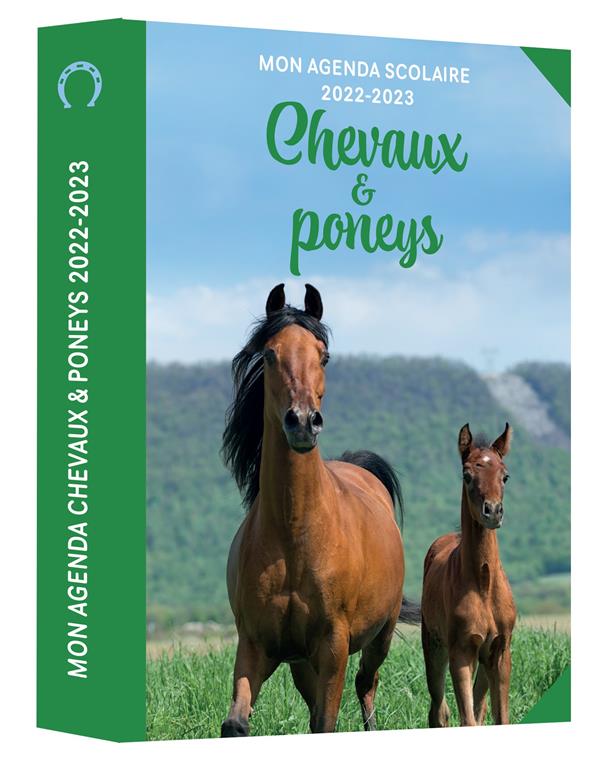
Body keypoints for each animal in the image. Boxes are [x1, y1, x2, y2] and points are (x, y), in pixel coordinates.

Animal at [220, 283, 416, 736]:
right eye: (269, 353)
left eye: (323, 355)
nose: (304, 422)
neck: (295, 534)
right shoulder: (256, 644)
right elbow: (236, 723)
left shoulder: (333, 646)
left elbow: (327, 721)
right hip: (301, 664)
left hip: (379, 636)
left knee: (366, 684)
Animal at [421, 423, 517, 727]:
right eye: (467, 475)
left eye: (505, 475)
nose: (493, 511)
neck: (484, 585)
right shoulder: (461, 651)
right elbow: (467, 718)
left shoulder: (500, 651)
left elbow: (497, 717)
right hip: (434, 649)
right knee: (439, 711)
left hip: (484, 662)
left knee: (479, 706)